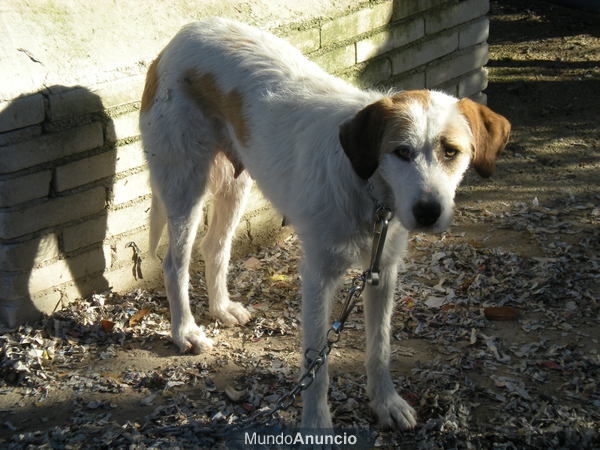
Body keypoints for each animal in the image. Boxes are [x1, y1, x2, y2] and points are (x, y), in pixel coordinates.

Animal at [141, 17, 510, 430]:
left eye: (451, 151)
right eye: (401, 152)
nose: (428, 212)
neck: (367, 185)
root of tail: (183, 34)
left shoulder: (382, 272)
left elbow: (379, 347)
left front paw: (386, 402)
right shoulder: (318, 276)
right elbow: (315, 362)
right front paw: (317, 425)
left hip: (236, 182)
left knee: (215, 247)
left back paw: (221, 308)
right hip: (184, 184)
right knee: (175, 263)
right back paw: (185, 331)